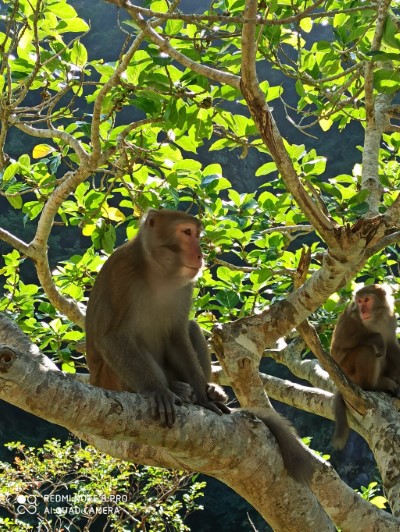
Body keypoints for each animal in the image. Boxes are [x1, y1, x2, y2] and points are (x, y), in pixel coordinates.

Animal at [86, 208, 230, 428]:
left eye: (197, 235)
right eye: (187, 232)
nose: (200, 255)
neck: (158, 271)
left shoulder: (186, 286)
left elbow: (177, 335)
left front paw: (203, 398)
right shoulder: (122, 273)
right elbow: (112, 337)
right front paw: (158, 390)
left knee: (191, 327)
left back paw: (208, 391)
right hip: (111, 380)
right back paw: (175, 388)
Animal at [330, 282, 400, 448]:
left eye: (367, 300)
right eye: (359, 301)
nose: (362, 311)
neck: (376, 317)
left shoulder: (390, 318)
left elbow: (392, 344)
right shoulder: (351, 317)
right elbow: (336, 349)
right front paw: (377, 338)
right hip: (349, 373)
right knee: (366, 350)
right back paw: (373, 386)